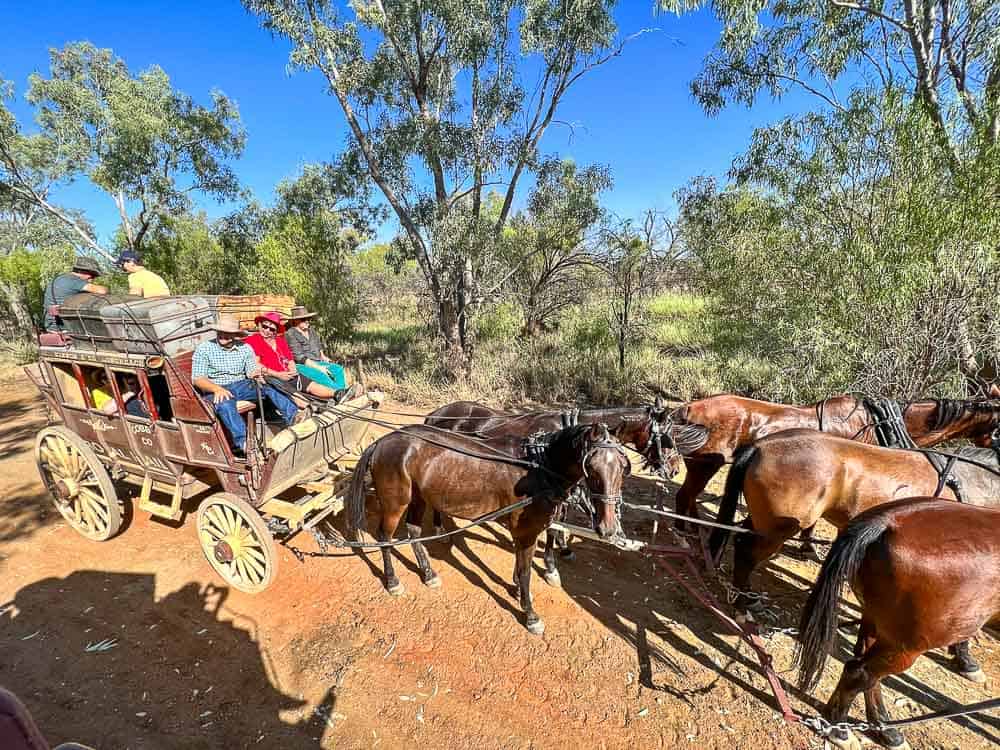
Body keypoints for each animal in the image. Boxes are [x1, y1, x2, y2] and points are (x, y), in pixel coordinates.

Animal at [348, 424, 628, 636]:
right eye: (591, 468)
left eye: (623, 467)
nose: (608, 528)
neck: (537, 468)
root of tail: (382, 441)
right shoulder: (526, 531)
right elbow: (526, 572)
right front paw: (530, 614)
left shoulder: (525, 532)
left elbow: (520, 566)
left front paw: (517, 590)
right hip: (396, 502)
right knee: (385, 538)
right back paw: (392, 581)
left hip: (418, 496)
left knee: (414, 531)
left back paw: (428, 573)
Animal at [668, 394, 1000, 536]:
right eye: (997, 425)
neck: (877, 422)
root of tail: (688, 407)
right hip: (704, 464)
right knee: (685, 496)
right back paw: (683, 532)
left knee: (689, 496)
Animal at [712, 428, 1000, 680]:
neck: (981, 481)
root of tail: (760, 446)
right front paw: (965, 659)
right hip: (777, 529)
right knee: (746, 553)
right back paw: (742, 605)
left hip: (764, 523)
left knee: (741, 539)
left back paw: (747, 598)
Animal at [796, 500, 1000, 750]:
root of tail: (886, 523)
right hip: (906, 646)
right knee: (859, 674)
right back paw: (839, 730)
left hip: (876, 622)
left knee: (866, 673)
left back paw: (884, 728)